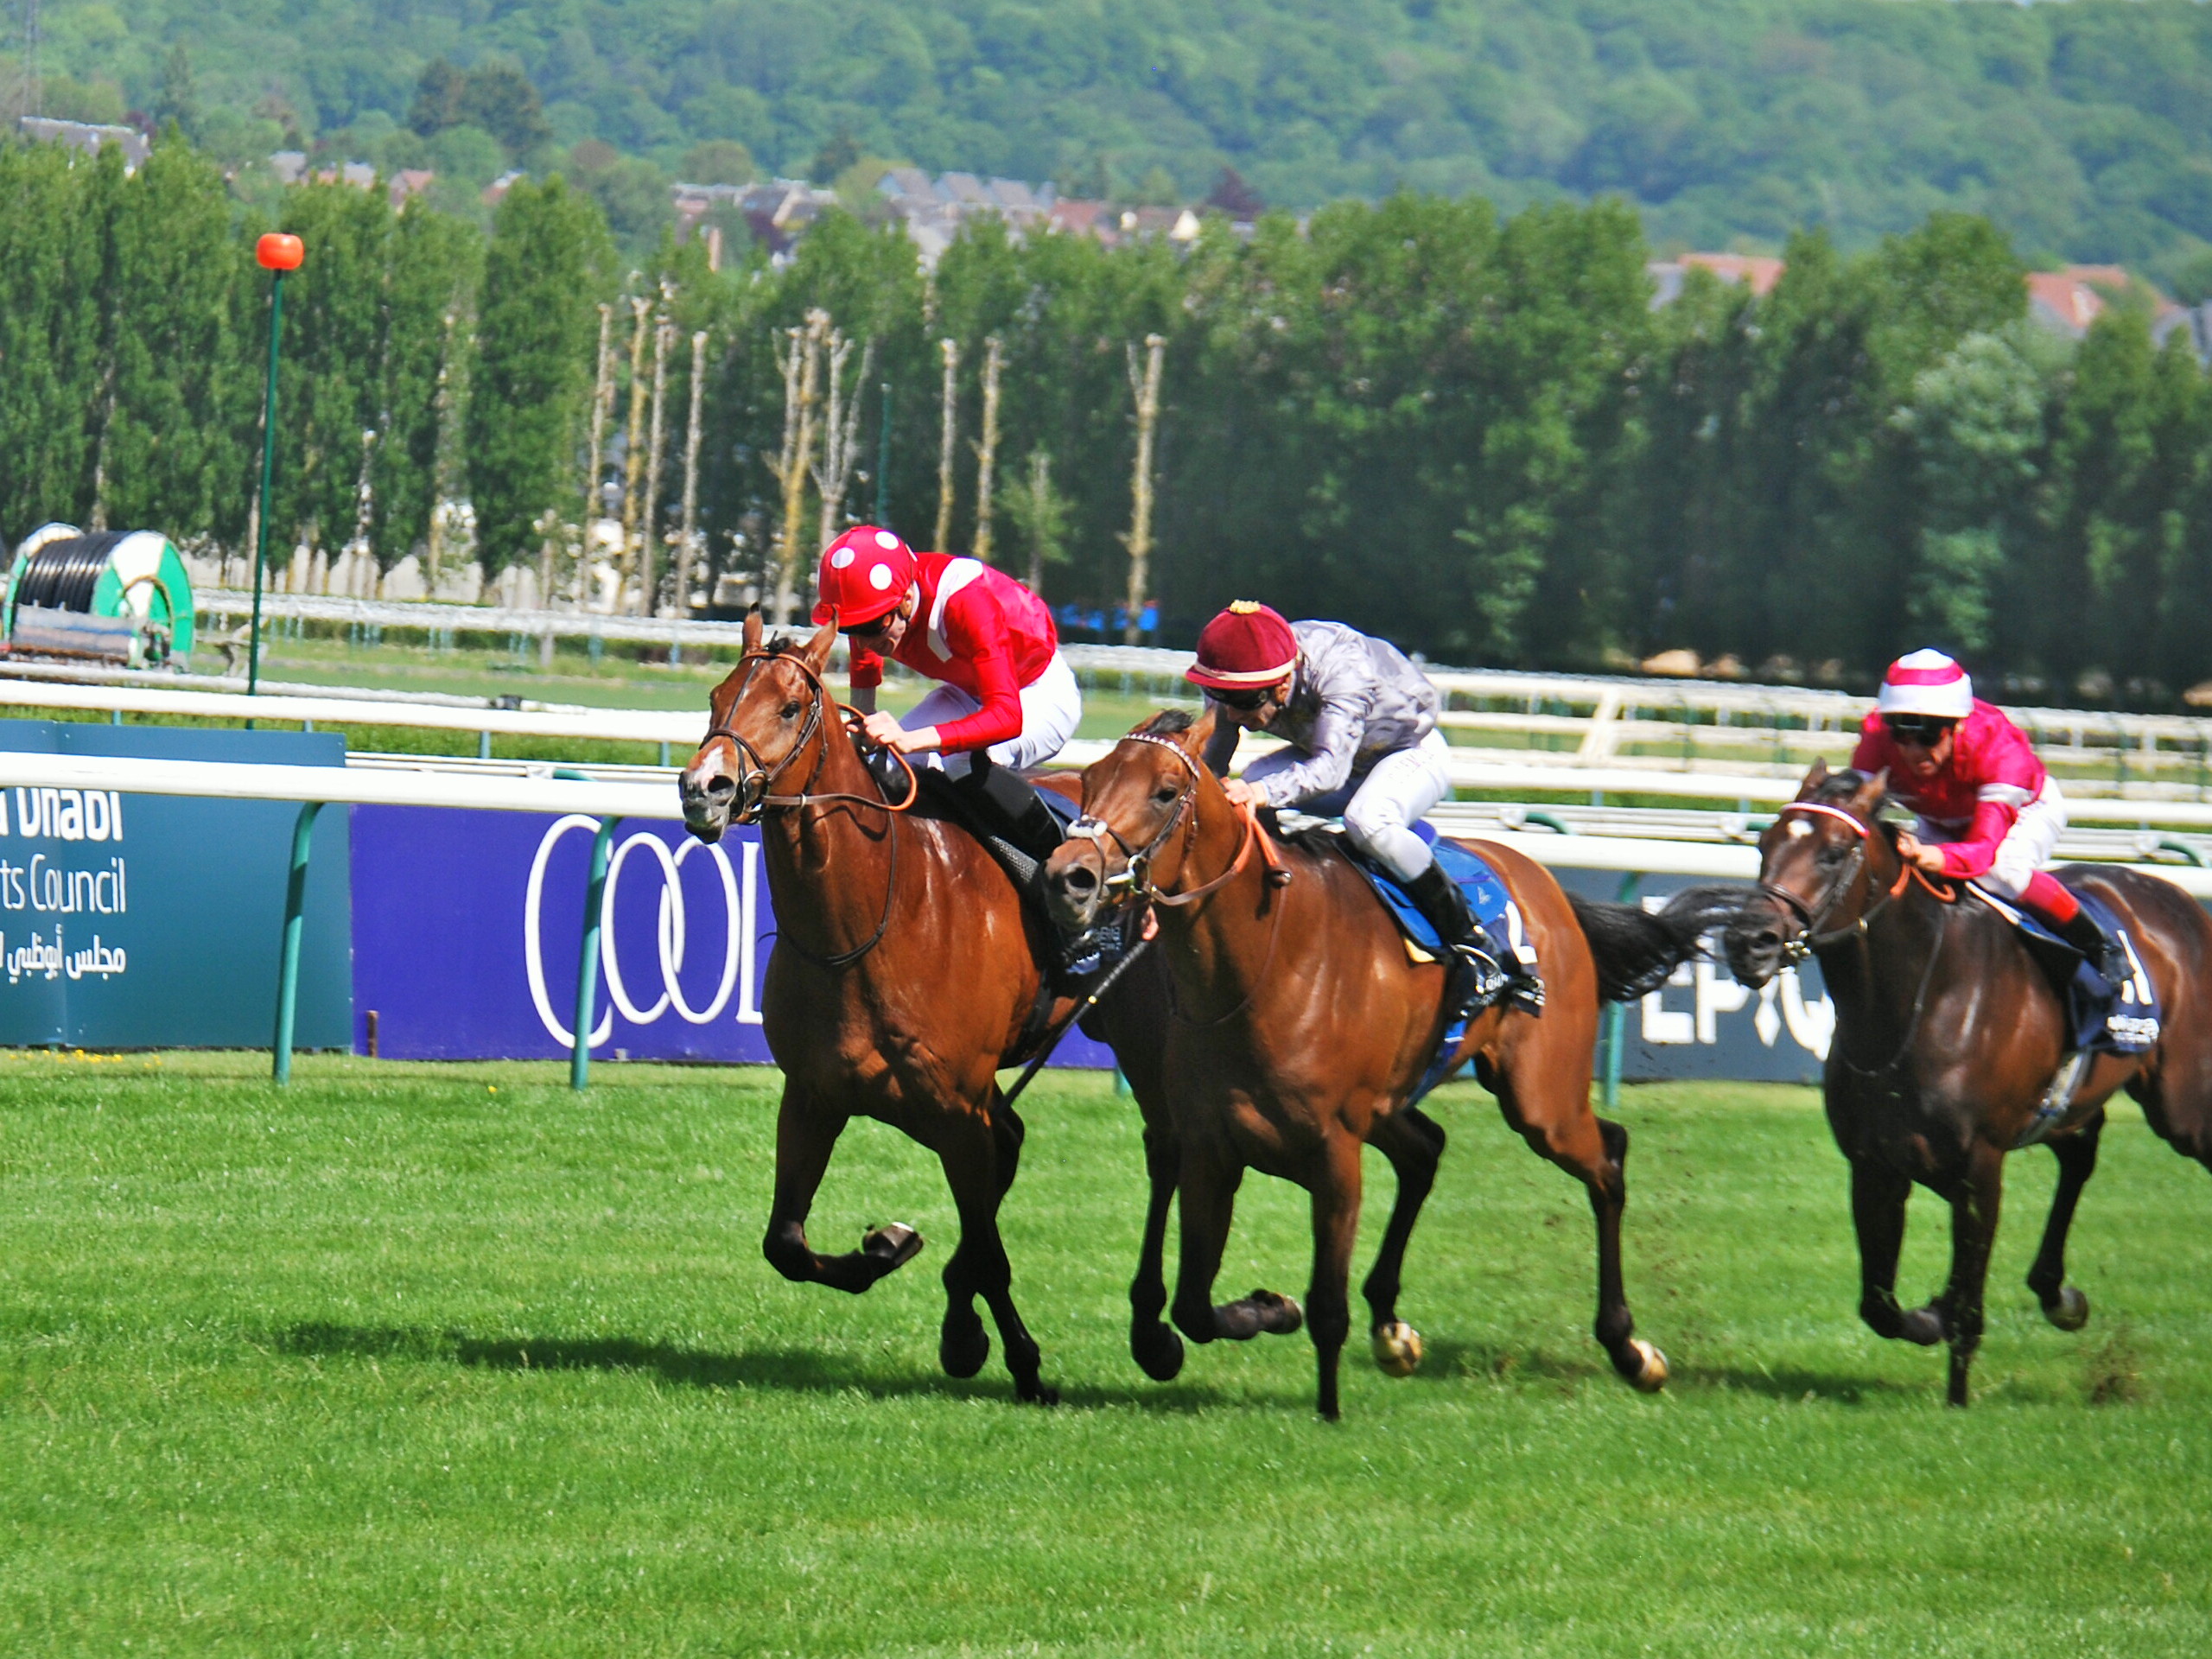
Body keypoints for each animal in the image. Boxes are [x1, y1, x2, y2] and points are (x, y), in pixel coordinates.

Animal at [677, 619, 1185, 1407]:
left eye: (790, 707)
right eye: (716, 696)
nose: (705, 788)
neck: (867, 927)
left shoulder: (957, 1110)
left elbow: (988, 1246)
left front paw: (1024, 1362)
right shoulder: (815, 1096)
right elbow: (786, 1243)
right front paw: (893, 1253)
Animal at [1035, 708, 1725, 1424]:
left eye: (1165, 792)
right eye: (1090, 779)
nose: (1069, 876)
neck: (1261, 964)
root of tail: (1543, 882)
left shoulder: (1335, 1153)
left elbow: (1325, 1305)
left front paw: (1329, 1409)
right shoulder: (1210, 1149)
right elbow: (1195, 1306)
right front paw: (1265, 1309)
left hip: (1542, 1100)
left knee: (1606, 1158)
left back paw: (1630, 1348)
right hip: (1398, 1102)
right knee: (1428, 1148)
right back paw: (1393, 1330)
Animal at [1725, 765, 2212, 1407]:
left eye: (1831, 853)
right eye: (1764, 844)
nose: (1747, 941)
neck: (1918, 1000)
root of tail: (2184, 902)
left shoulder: (1980, 1168)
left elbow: (1968, 1303)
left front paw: (1957, 1396)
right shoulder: (1874, 1165)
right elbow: (1879, 1305)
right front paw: (1931, 1312)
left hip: (2182, 1106)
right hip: (2067, 1101)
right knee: (2080, 1152)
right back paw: (2058, 1295)